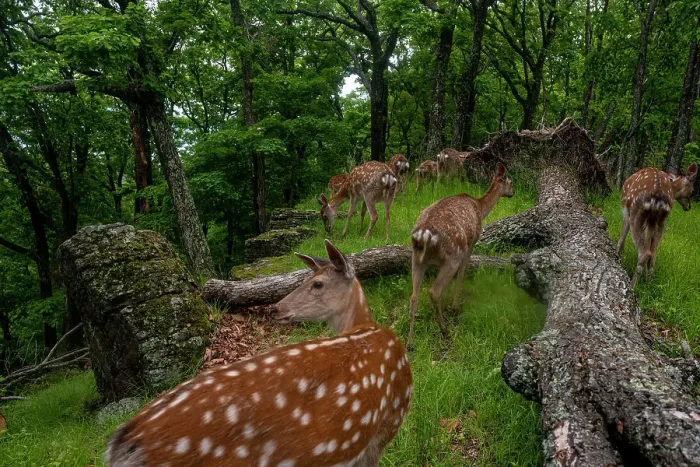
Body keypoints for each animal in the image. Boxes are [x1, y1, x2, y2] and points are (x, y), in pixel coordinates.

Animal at [407, 162, 514, 348]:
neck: (480, 208)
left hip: (417, 259)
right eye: (510, 181)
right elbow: (463, 272)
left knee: (414, 296)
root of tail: (423, 235)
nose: (513, 192)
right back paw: (444, 329)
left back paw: (410, 342)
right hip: (452, 255)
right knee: (434, 291)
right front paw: (455, 305)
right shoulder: (472, 242)